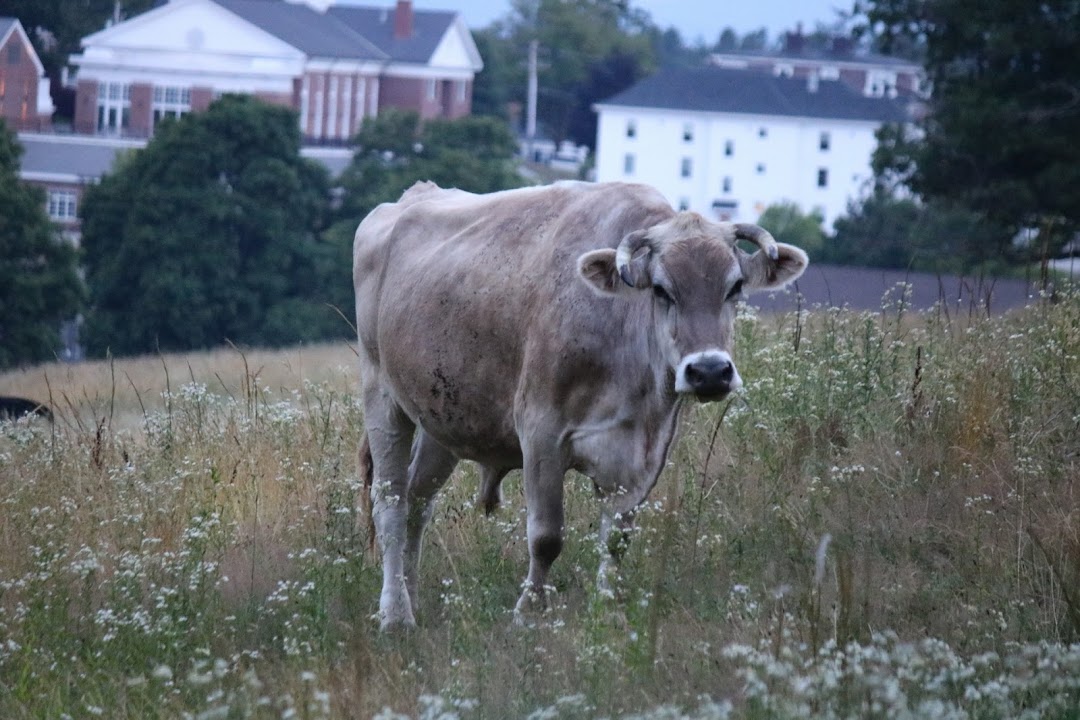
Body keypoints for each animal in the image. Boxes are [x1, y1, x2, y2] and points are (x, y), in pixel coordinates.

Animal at [358, 181, 807, 630]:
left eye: (735, 287)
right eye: (662, 290)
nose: (710, 371)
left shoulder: (645, 452)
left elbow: (616, 542)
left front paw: (607, 615)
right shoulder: (541, 435)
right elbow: (546, 538)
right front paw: (528, 614)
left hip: (442, 418)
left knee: (418, 503)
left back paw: (410, 597)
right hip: (382, 398)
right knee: (392, 505)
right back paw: (395, 615)